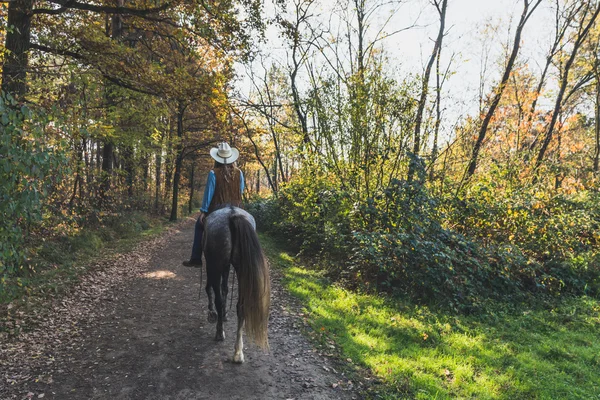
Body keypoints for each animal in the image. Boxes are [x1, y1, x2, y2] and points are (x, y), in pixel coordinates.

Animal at [202, 206, 270, 362]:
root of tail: (232, 214)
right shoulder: (226, 266)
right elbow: (225, 288)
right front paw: (224, 313)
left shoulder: (214, 266)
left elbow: (211, 289)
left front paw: (212, 313)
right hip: (241, 270)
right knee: (241, 306)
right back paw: (238, 353)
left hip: (216, 266)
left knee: (218, 299)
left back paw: (219, 332)